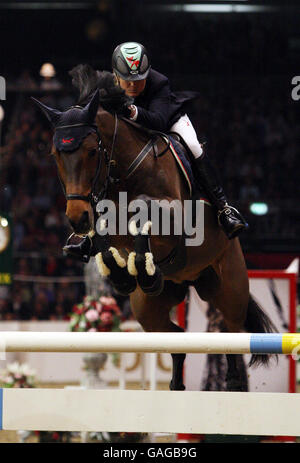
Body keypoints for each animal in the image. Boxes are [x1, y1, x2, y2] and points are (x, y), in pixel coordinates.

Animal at [32, 64, 274, 392]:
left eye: (92, 151)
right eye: (56, 155)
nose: (77, 218)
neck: (122, 174)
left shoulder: (176, 216)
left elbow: (142, 208)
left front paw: (136, 266)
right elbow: (104, 234)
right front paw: (123, 273)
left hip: (230, 289)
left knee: (232, 338)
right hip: (150, 306)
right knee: (176, 338)